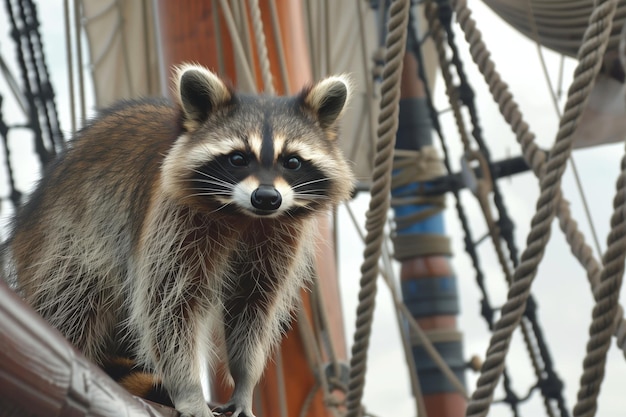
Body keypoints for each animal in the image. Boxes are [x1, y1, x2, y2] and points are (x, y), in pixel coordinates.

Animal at [6, 65, 352, 416]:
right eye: (238, 159)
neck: (245, 215)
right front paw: (189, 390)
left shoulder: (279, 237)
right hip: (67, 238)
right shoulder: (172, 220)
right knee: (72, 300)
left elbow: (252, 307)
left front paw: (244, 381)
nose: (267, 198)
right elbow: (168, 305)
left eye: (292, 161)